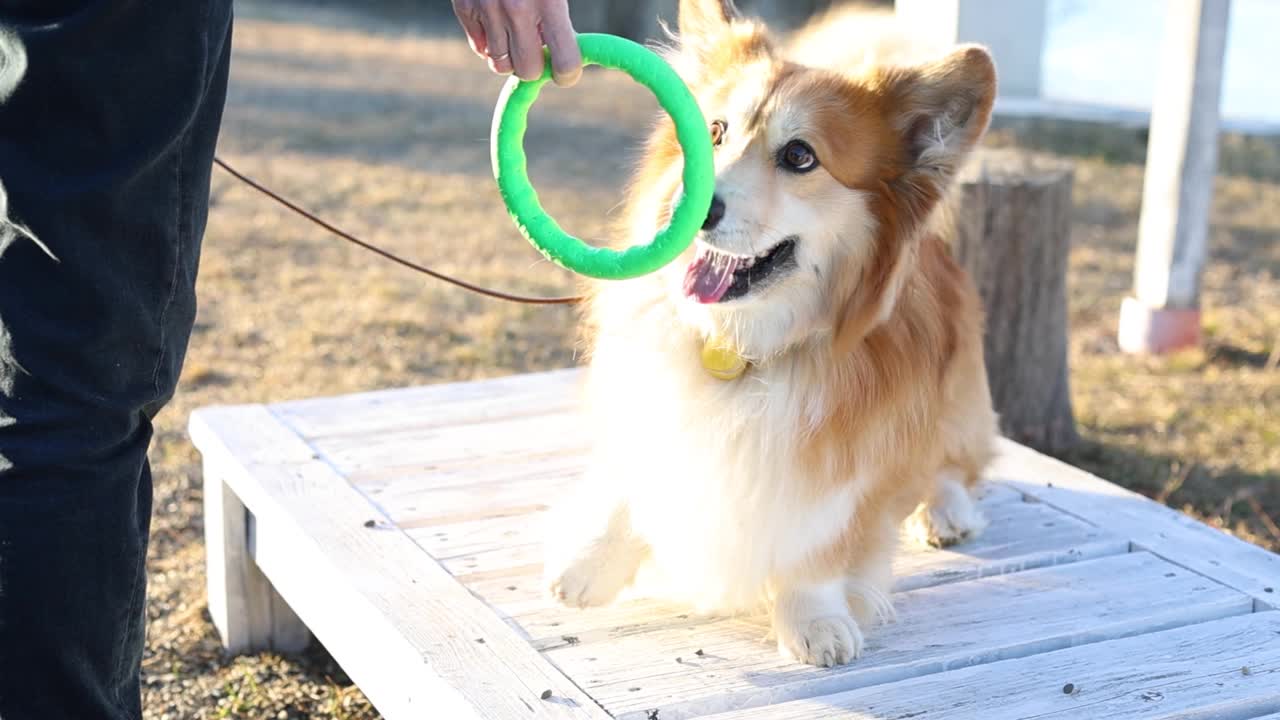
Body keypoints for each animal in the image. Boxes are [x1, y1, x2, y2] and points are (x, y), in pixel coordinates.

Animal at [540, 0, 998, 666]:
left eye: (800, 156)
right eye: (714, 132)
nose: (691, 208)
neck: (741, 344)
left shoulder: (848, 467)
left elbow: (819, 547)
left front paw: (814, 620)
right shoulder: (654, 400)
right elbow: (635, 476)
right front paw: (591, 564)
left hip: (958, 395)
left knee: (957, 462)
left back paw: (946, 511)